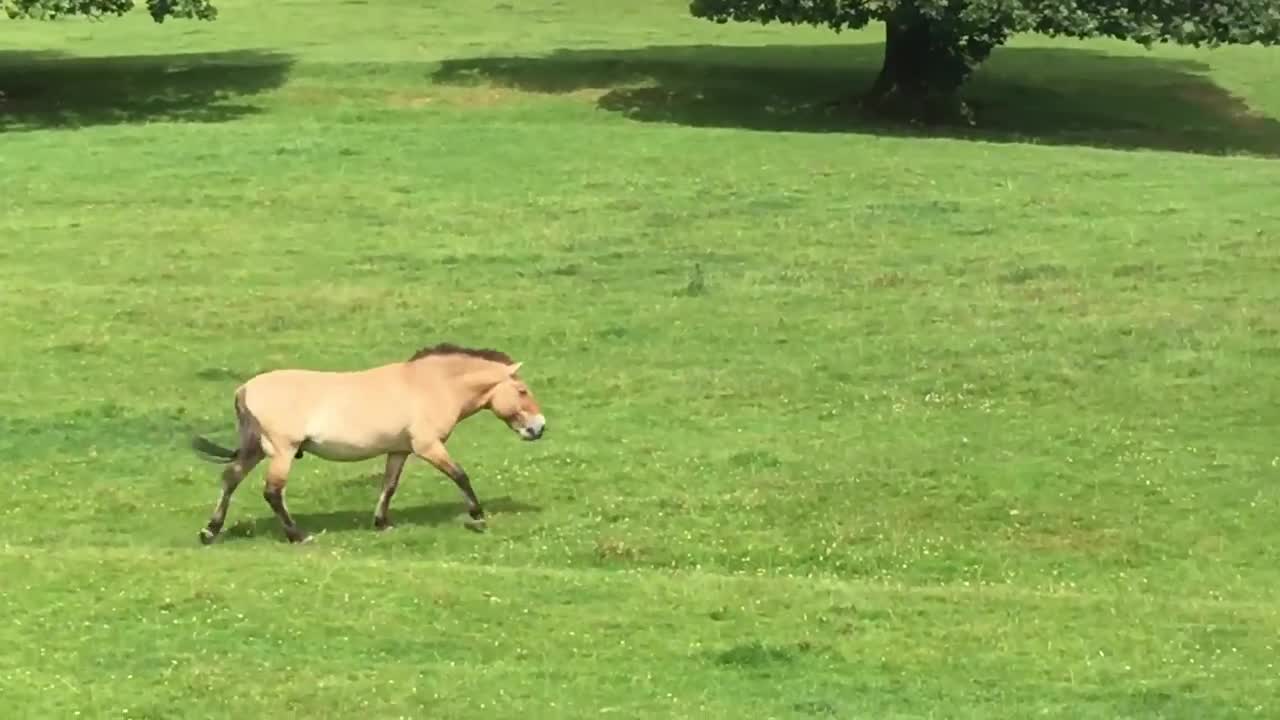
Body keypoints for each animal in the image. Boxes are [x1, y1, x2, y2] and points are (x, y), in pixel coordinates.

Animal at [189, 340, 545, 543]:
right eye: (522, 390)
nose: (539, 428)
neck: (431, 385)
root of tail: (245, 388)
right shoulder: (427, 446)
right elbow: (460, 475)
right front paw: (478, 515)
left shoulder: (399, 450)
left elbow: (389, 485)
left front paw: (382, 523)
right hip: (281, 451)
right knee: (272, 492)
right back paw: (297, 535)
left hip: (255, 449)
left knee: (230, 479)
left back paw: (210, 532)